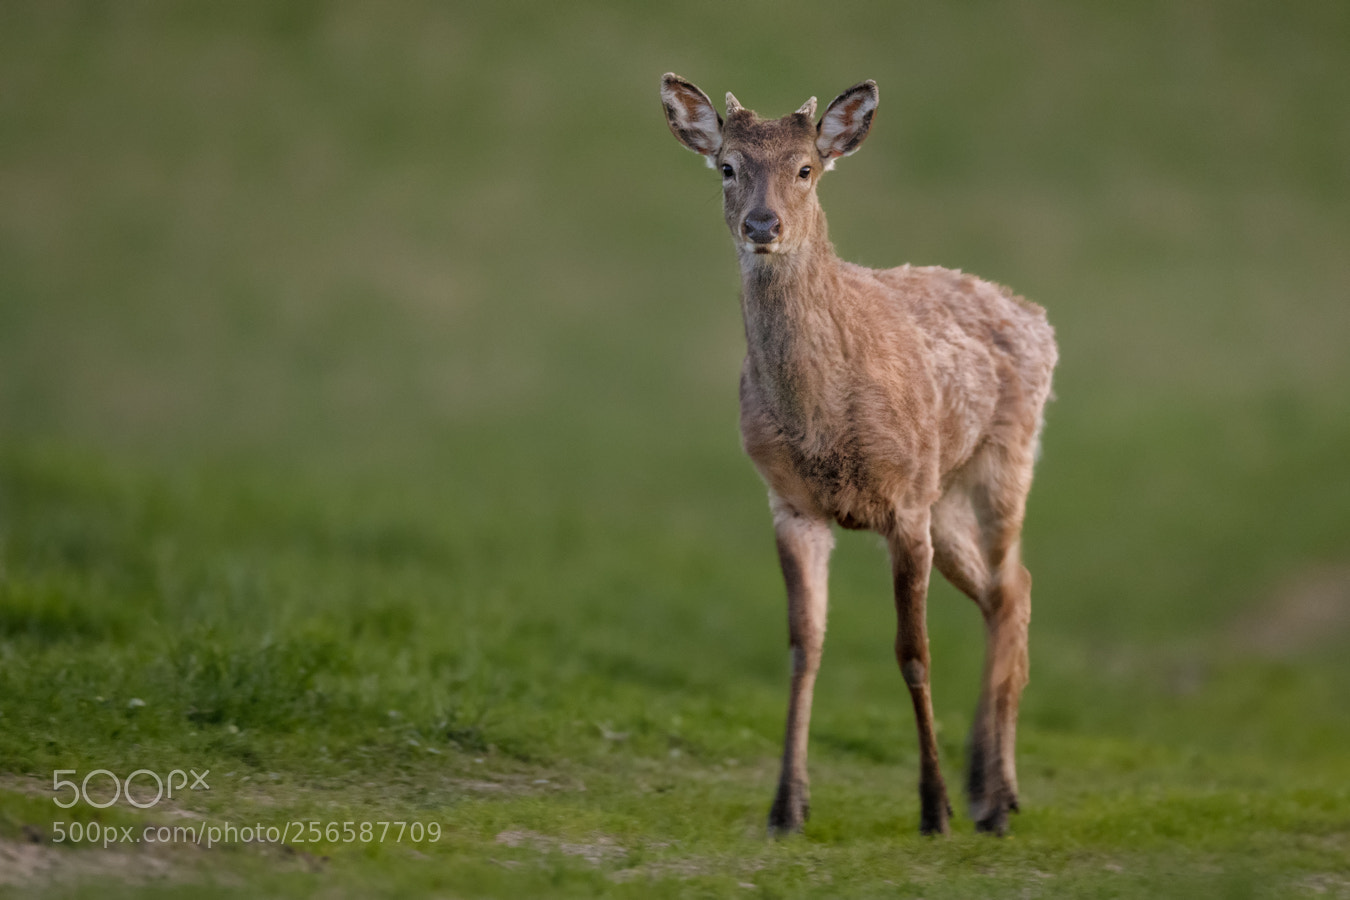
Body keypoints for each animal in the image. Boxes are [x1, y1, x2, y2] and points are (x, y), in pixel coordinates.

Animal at [659, 74, 1058, 837]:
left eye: (806, 170)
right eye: (727, 167)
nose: (763, 226)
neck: (822, 420)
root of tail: (1037, 315)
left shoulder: (903, 504)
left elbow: (913, 652)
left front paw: (932, 808)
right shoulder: (791, 504)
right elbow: (803, 647)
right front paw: (786, 808)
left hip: (1005, 460)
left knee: (1012, 584)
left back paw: (992, 798)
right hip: (944, 495)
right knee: (1010, 592)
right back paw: (992, 788)